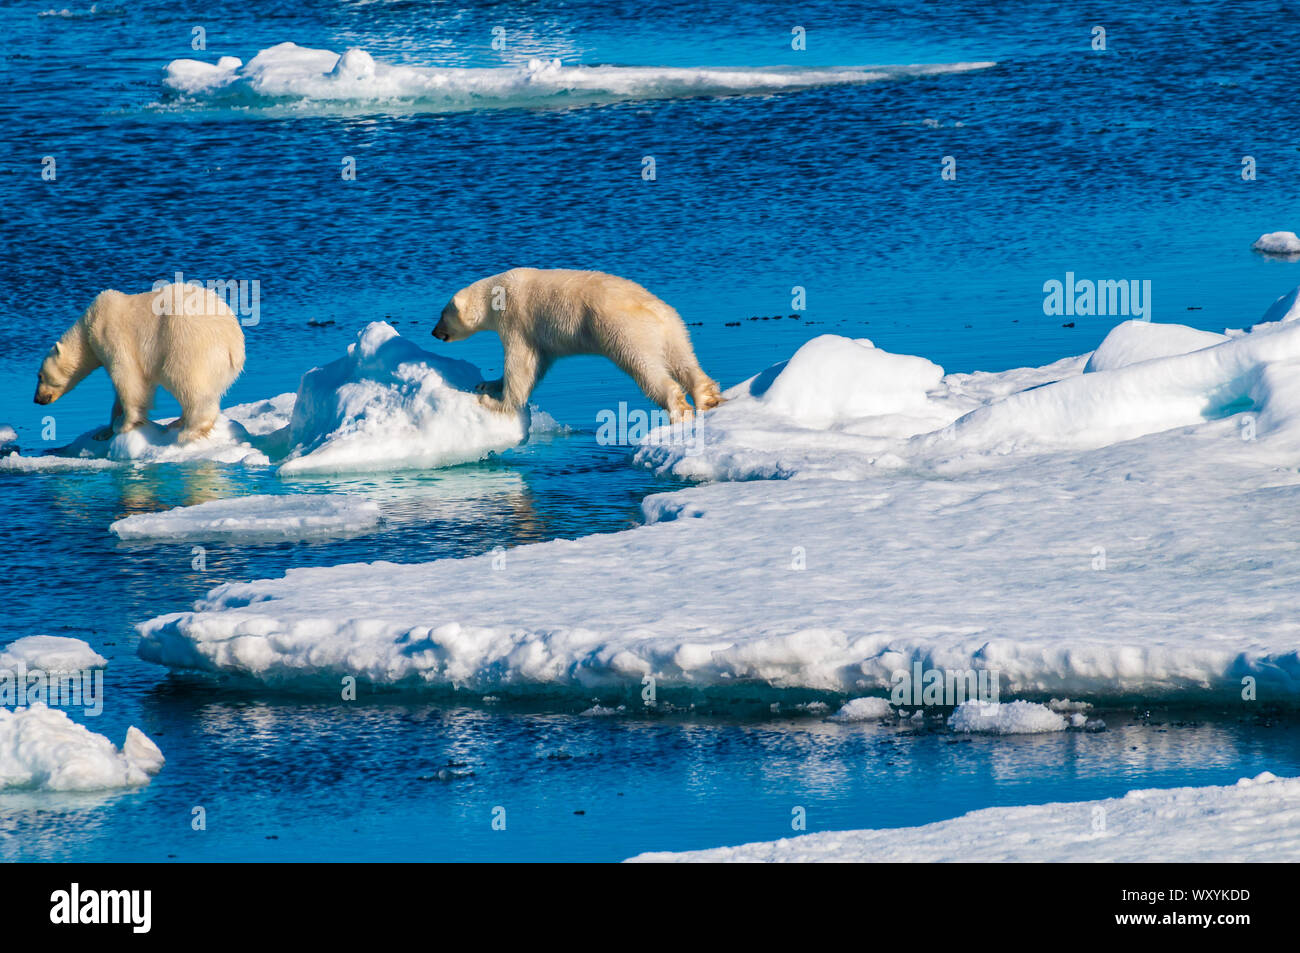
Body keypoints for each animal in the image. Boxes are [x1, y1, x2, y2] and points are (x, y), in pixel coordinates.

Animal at [34, 283, 246, 444]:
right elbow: (139, 386)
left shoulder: (112, 335)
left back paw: (188, 430)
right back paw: (177, 422)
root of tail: (233, 341)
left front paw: (123, 425)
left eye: (40, 376)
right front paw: (104, 432)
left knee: (184, 379)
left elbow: (127, 378)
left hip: (185, 340)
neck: (89, 324)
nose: (37, 399)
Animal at [432, 268, 724, 423]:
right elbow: (537, 364)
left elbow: (520, 365)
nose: (434, 332)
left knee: (643, 366)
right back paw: (706, 397)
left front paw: (494, 401)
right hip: (675, 329)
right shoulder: (543, 340)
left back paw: (678, 409)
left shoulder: (516, 319)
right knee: (684, 359)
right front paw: (487, 384)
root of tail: (655, 311)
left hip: (625, 330)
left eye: (442, 314)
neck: (497, 292)